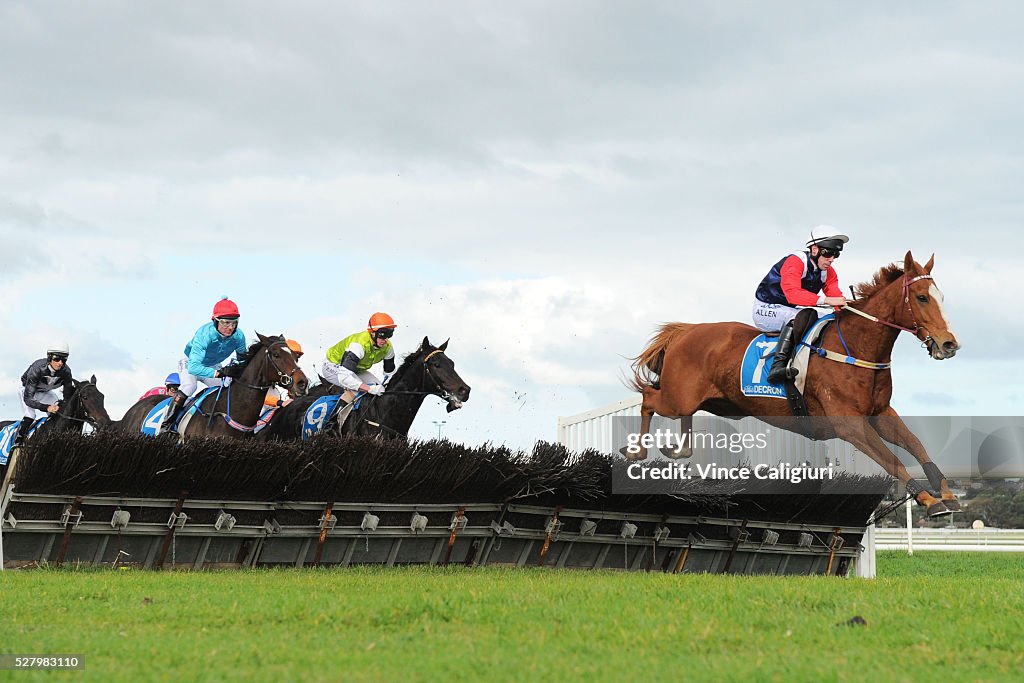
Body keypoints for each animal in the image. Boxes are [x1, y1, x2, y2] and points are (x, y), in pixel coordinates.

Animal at [626, 253, 962, 516]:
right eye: (921, 297)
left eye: (943, 298)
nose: (949, 344)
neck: (856, 347)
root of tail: (685, 331)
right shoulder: (850, 425)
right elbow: (892, 460)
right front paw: (929, 500)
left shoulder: (880, 414)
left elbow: (916, 445)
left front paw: (945, 494)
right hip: (677, 398)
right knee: (649, 399)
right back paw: (637, 453)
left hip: (712, 402)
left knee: (678, 411)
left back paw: (679, 450)